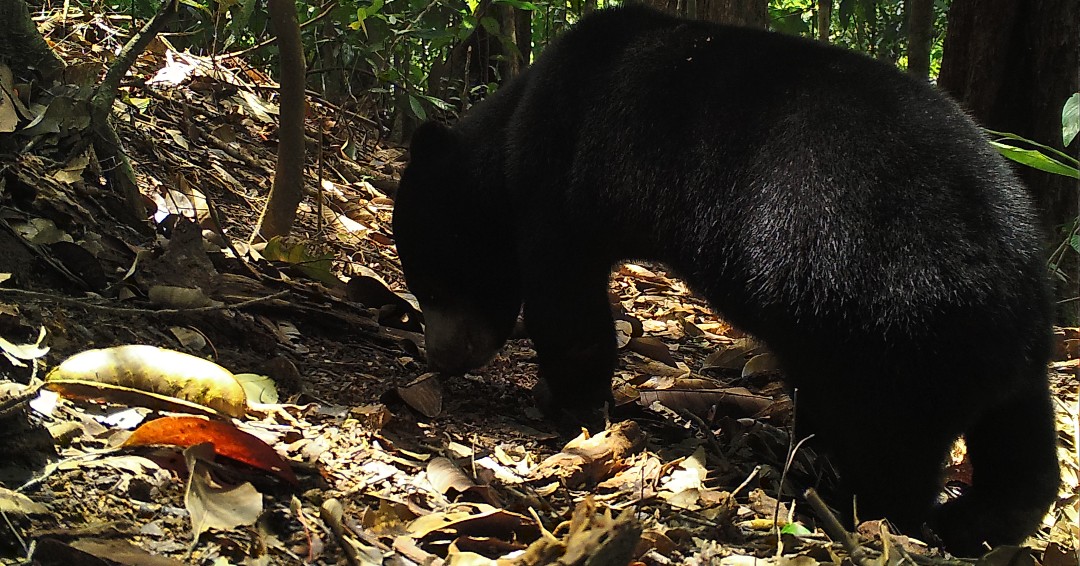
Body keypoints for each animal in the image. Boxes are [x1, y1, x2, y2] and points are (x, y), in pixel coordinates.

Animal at [391, 5, 1059, 556]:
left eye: (432, 282)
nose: (441, 355)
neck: (512, 123)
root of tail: (1019, 280)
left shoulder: (562, 178)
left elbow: (567, 302)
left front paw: (565, 403)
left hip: (889, 322)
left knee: (887, 439)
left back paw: (859, 506)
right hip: (997, 348)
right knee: (1018, 436)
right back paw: (975, 520)